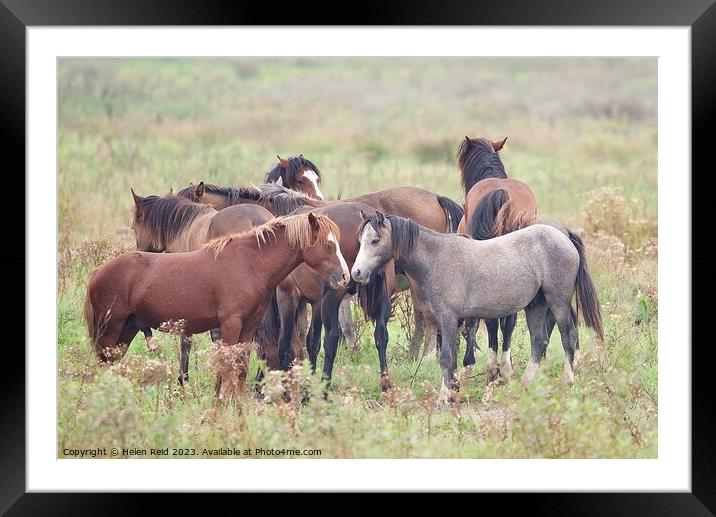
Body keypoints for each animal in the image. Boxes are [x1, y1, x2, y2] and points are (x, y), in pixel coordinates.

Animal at [85, 211, 352, 396]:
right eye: (328, 245)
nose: (344, 277)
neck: (250, 263)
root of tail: (98, 272)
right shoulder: (230, 324)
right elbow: (227, 369)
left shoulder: (248, 327)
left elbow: (241, 369)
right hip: (111, 332)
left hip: (125, 332)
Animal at [352, 212, 604, 406]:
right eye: (360, 240)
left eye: (375, 240)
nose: (356, 273)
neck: (437, 258)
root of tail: (563, 236)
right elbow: (452, 358)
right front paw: (453, 391)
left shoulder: (448, 317)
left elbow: (446, 359)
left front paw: (444, 398)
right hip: (536, 305)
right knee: (539, 341)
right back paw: (525, 384)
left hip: (558, 301)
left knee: (567, 337)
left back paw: (568, 380)